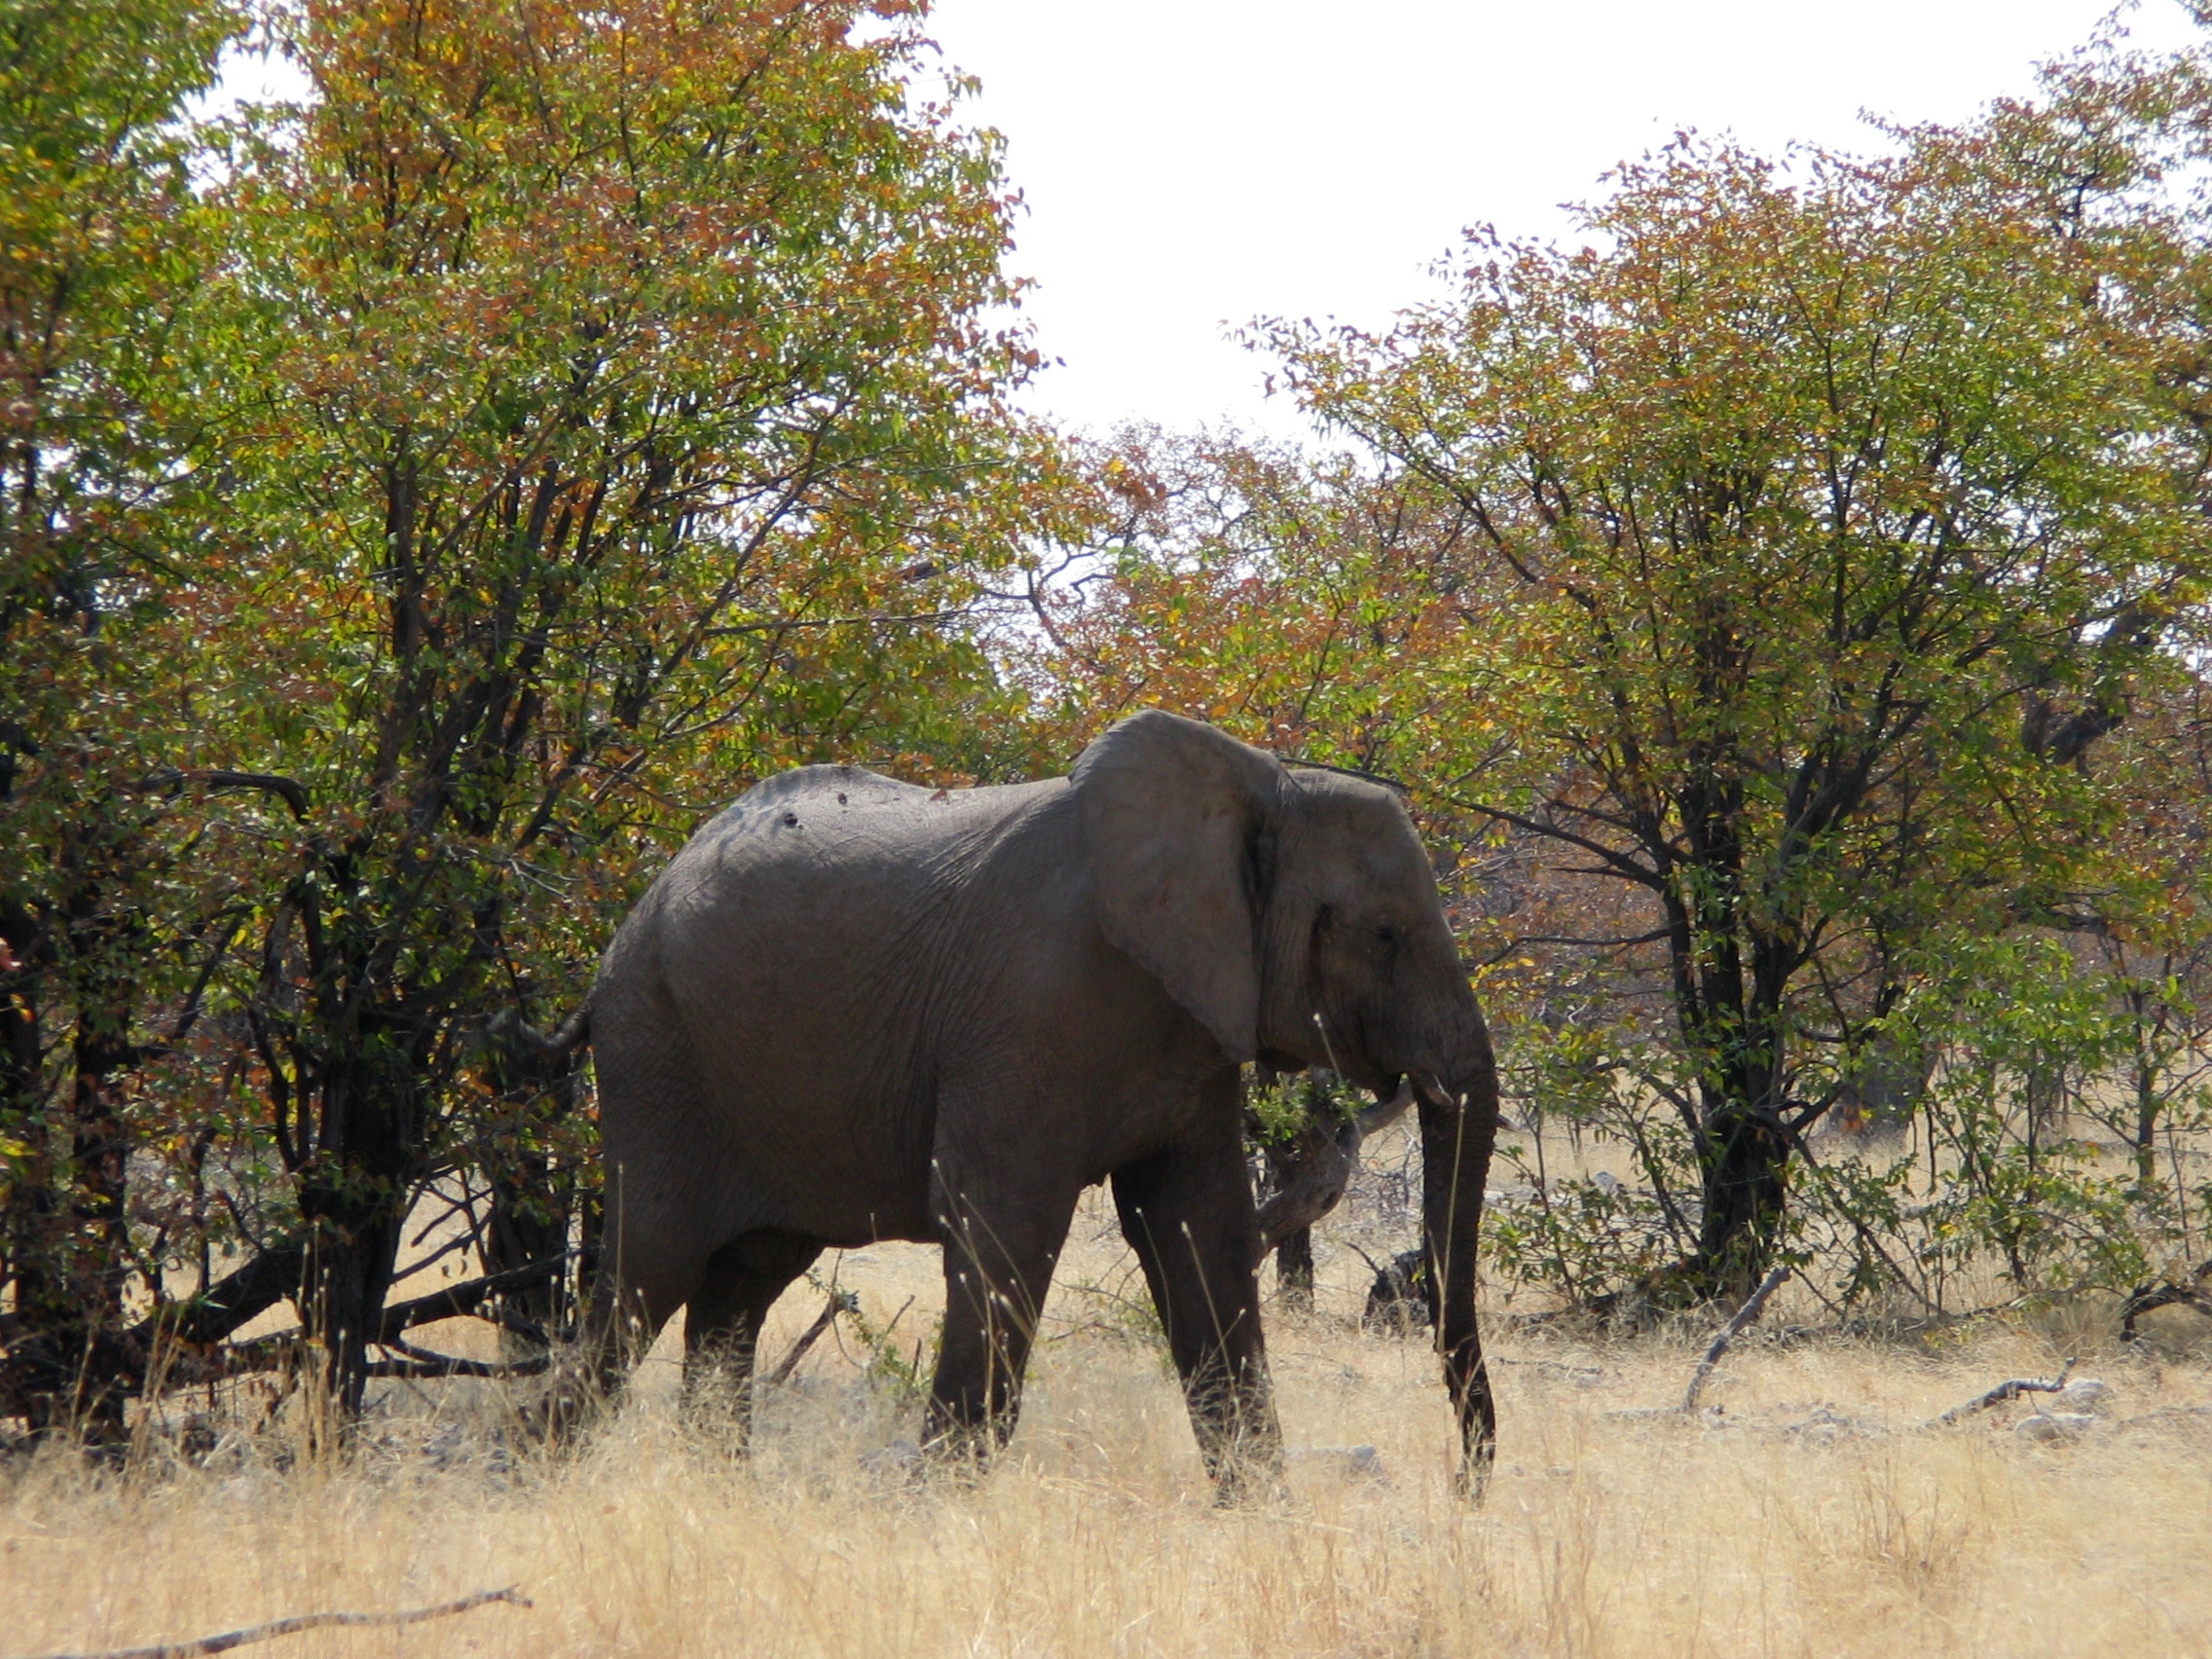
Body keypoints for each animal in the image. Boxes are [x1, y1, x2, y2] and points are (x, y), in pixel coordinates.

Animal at [574, 703, 1503, 1494]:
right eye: (1383, 935)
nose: (1465, 1485)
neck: (1259, 786)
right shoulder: (1026, 1007)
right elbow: (1005, 1224)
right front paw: (937, 1515)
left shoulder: (1193, 1021)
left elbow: (1201, 1229)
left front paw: (1262, 1515)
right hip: (652, 1051)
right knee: (644, 1271)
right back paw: (549, 1482)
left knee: (738, 1289)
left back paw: (717, 1494)